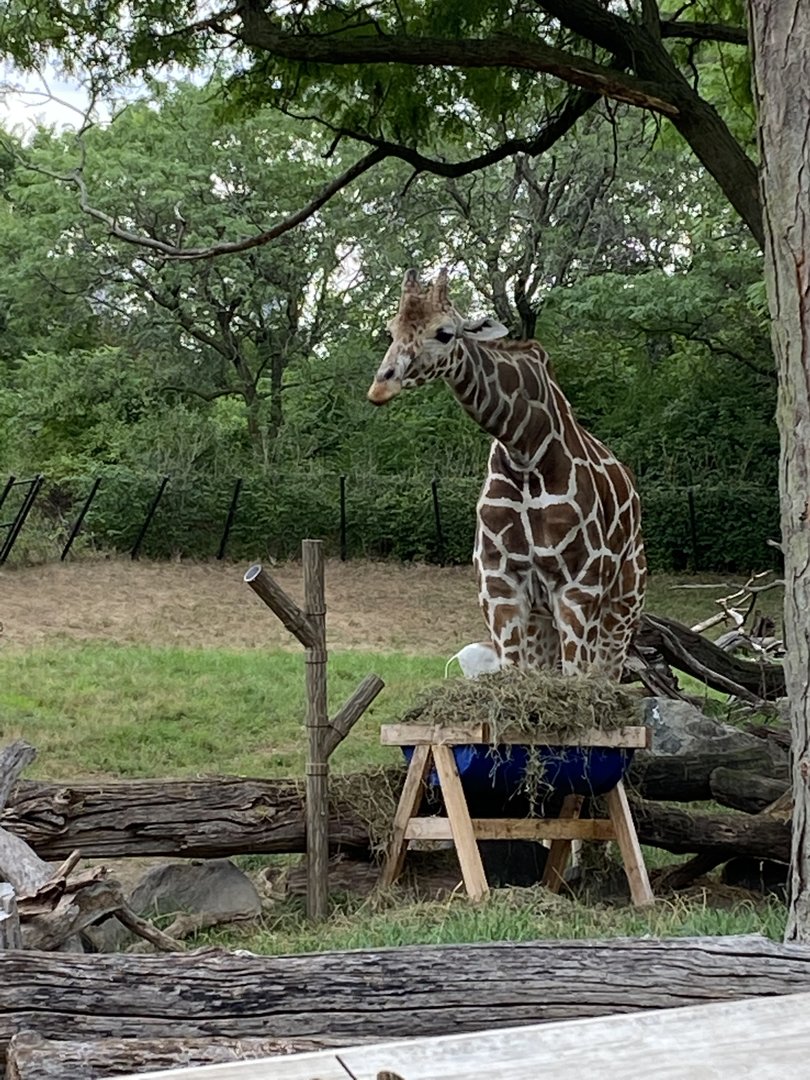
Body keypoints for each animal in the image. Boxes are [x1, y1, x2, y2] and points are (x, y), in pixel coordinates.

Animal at [368, 267, 647, 680]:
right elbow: (517, 675)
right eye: (392, 329)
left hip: (624, 603)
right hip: (543, 620)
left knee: (606, 675)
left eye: (444, 333)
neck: (525, 451)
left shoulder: (578, 589)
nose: (381, 386)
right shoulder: (499, 584)